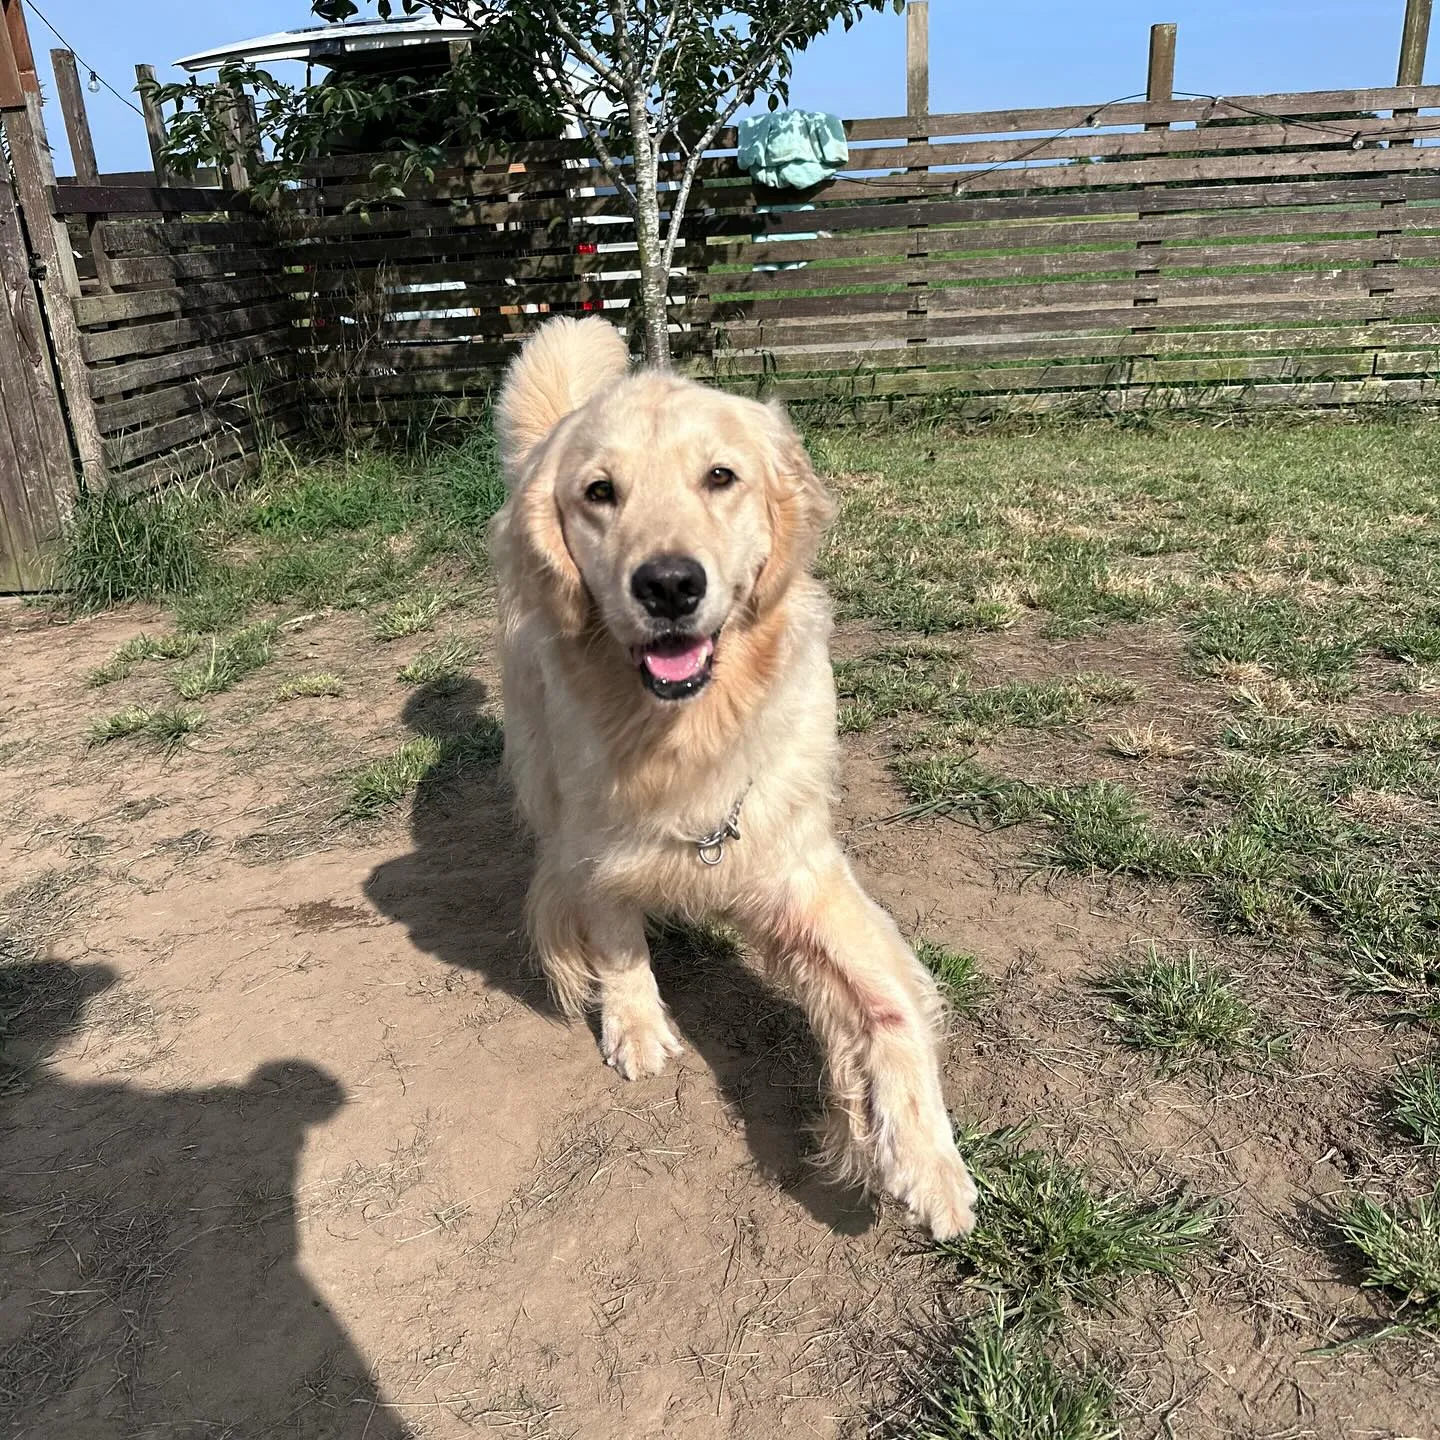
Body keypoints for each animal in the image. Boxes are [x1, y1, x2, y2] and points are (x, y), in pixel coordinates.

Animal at [486, 315, 979, 1238]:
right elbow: (614, 933)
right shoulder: (594, 846)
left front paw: (929, 1163)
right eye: (599, 492)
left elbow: (890, 1000)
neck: (688, 731)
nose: (670, 584)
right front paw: (636, 1025)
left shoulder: (796, 865)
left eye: (721, 476)